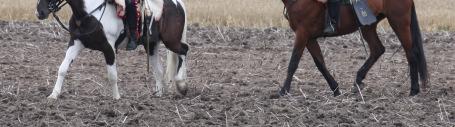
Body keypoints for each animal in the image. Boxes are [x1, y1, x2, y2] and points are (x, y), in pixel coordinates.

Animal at [36, 0, 191, 99]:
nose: (40, 12)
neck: (88, 13)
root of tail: (178, 3)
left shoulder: (108, 48)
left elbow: (112, 75)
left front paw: (116, 98)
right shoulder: (75, 43)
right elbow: (63, 68)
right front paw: (54, 95)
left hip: (171, 41)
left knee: (184, 50)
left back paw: (182, 85)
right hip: (151, 46)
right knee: (159, 70)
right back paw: (159, 93)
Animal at [280, 0, 430, 96]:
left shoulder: (302, 34)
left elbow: (293, 62)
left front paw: (283, 90)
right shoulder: (309, 38)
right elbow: (320, 64)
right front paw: (335, 89)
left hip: (399, 22)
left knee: (411, 53)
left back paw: (414, 89)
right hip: (368, 26)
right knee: (377, 49)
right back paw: (358, 80)